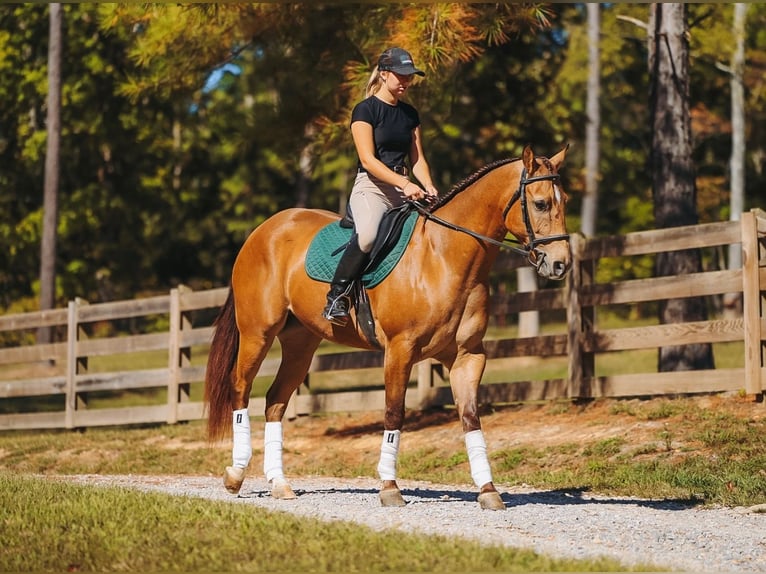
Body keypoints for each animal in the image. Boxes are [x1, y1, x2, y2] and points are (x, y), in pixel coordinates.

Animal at [204, 144, 571, 510]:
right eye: (540, 203)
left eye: (565, 199)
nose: (560, 264)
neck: (444, 256)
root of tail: (264, 229)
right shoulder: (399, 350)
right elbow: (394, 413)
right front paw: (390, 487)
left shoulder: (468, 356)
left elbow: (470, 418)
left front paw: (488, 490)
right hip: (257, 334)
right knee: (241, 389)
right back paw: (235, 475)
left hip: (300, 344)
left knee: (275, 401)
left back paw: (279, 483)